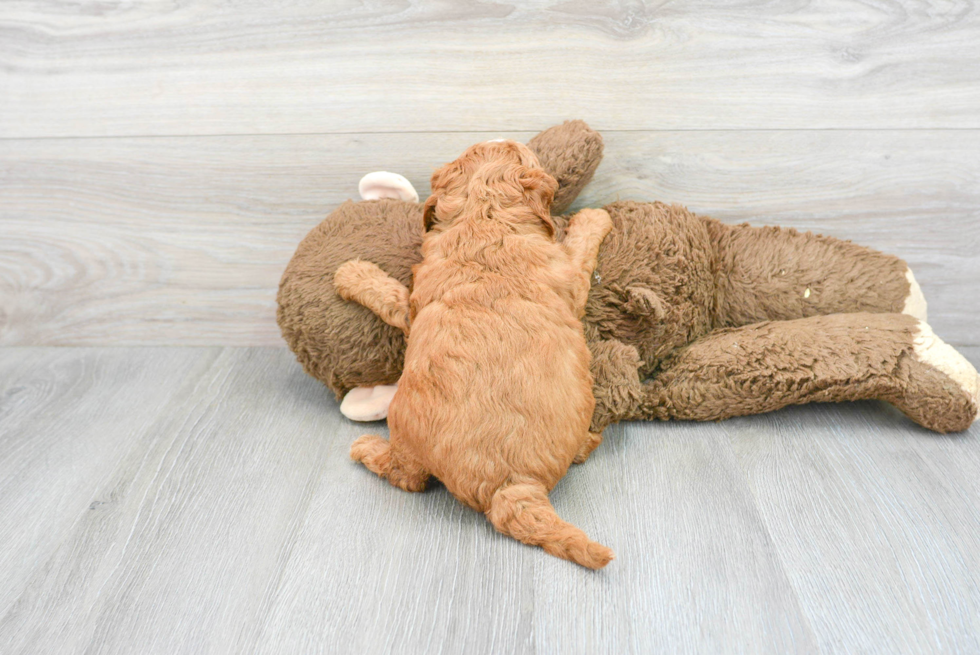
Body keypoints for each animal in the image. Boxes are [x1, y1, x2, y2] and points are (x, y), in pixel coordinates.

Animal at [336, 140, 612, 568]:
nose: (504, 138)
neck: (486, 217)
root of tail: (511, 486)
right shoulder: (570, 276)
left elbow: (393, 296)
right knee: (406, 476)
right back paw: (365, 446)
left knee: (409, 477)